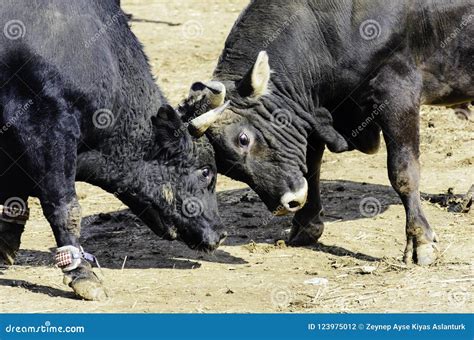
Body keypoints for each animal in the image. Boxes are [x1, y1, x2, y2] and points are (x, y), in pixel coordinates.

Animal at [180, 0, 472, 266]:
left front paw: (420, 242)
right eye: (224, 167)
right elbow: (311, 165)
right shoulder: (311, 108)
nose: (286, 204)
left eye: (243, 139)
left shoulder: (397, 90)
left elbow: (403, 172)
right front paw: (305, 226)